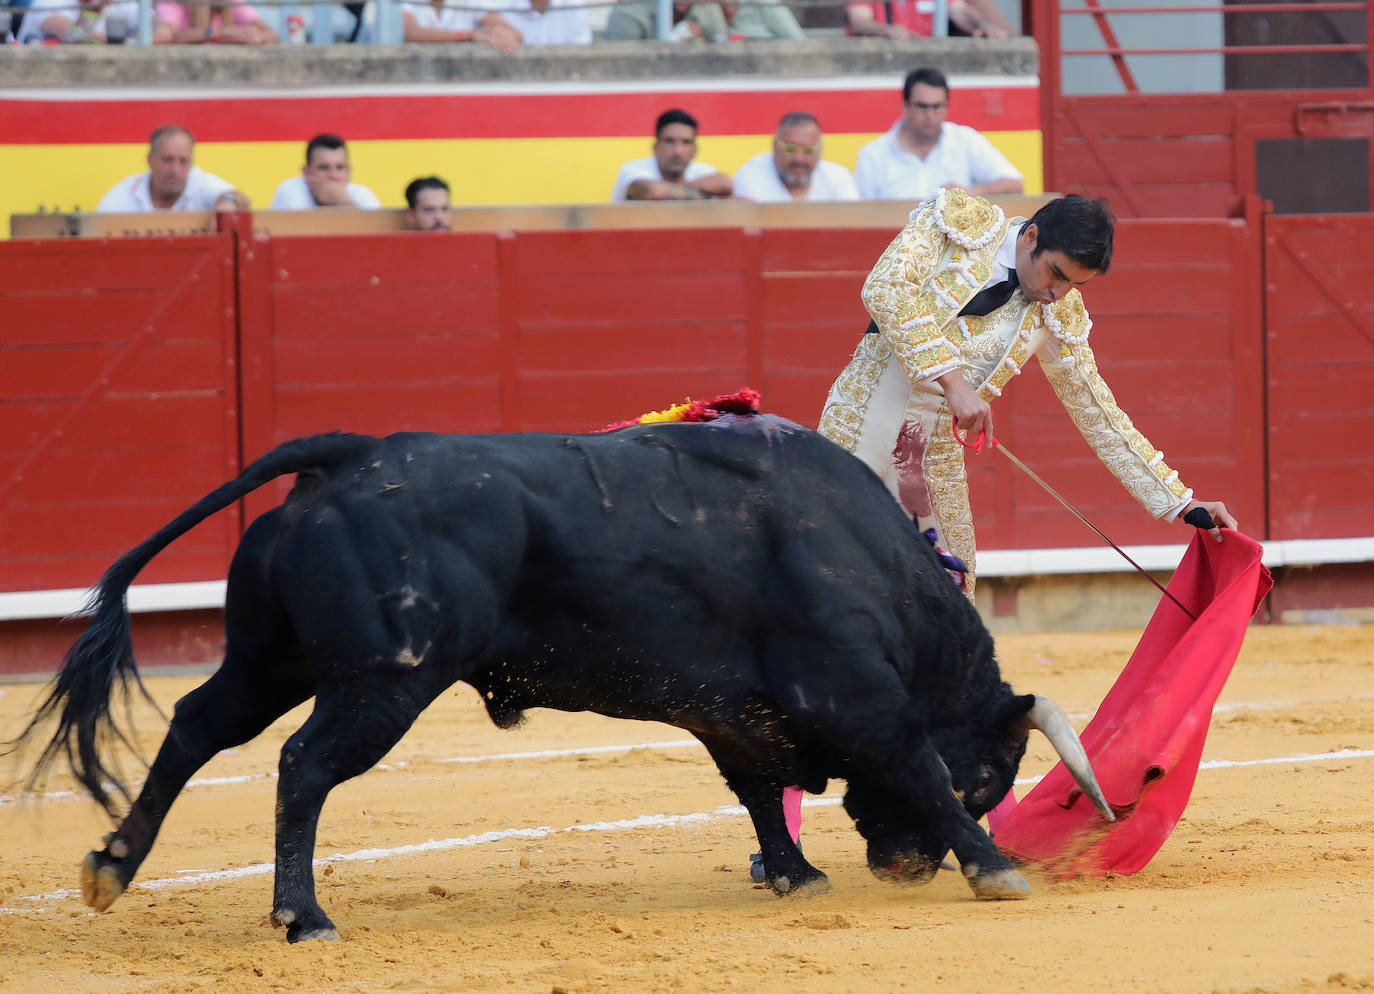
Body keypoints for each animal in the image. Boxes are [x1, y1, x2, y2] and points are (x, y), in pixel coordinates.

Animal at [8, 412, 1104, 940]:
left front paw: (796, 873)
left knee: (198, 726)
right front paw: (994, 868)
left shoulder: (730, 711)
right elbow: (912, 762)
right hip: (383, 679)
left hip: (268, 655)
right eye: (990, 779)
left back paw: (112, 866)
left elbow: (756, 792)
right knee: (303, 765)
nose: (902, 868)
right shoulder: (854, 693)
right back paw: (303, 916)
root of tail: (354, 456)